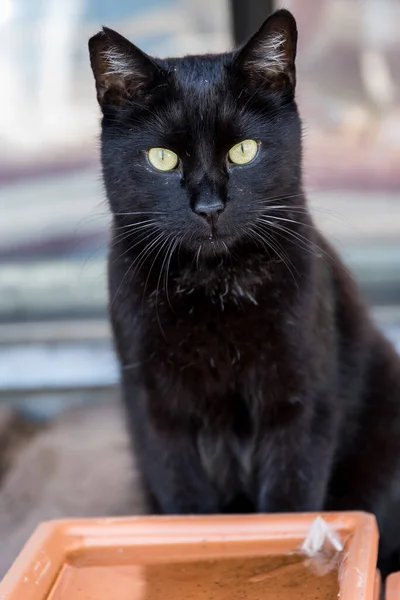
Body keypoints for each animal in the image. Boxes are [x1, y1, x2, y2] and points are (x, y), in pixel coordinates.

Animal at [89, 8, 400, 572]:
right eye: (162, 158)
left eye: (244, 150)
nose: (210, 206)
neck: (214, 286)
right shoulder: (156, 410)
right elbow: (185, 504)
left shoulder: (298, 401)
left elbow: (288, 504)